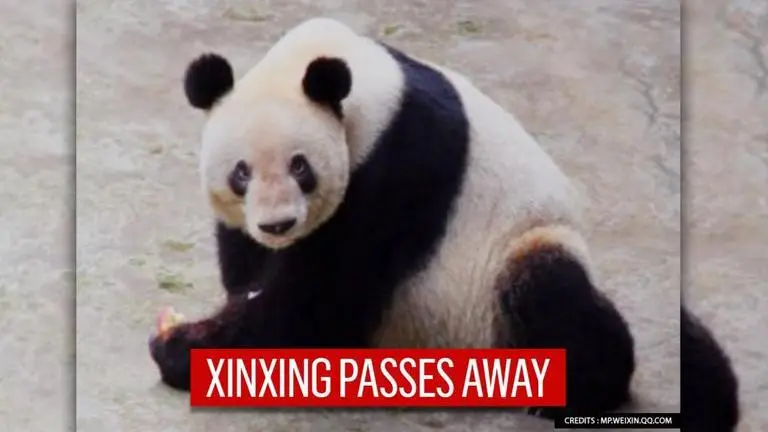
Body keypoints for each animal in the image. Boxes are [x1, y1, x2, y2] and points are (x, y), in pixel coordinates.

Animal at [149, 17, 636, 418]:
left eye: (300, 167)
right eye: (241, 173)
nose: (278, 225)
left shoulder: (401, 162)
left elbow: (321, 297)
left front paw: (181, 346)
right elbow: (253, 273)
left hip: (517, 251)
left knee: (550, 292)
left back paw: (576, 390)